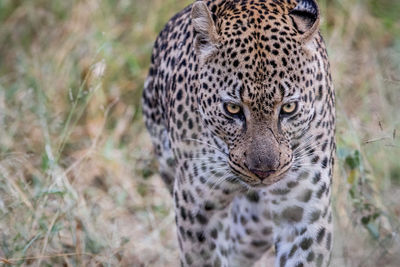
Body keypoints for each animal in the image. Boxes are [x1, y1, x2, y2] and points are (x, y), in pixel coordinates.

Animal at [142, 1, 336, 266]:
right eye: (233, 109)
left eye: (288, 108)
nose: (263, 172)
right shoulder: (196, 202)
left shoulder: (302, 210)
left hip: (256, 223)